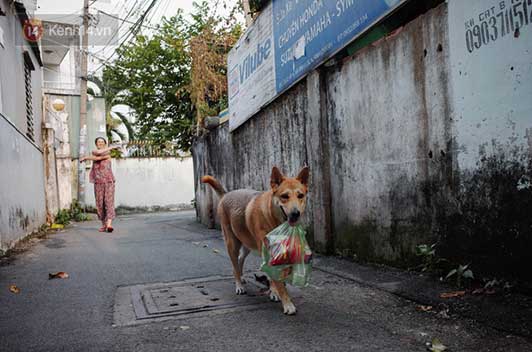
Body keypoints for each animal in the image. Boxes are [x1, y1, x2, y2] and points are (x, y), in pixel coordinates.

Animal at [202, 166, 310, 314]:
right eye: (284, 196)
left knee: (240, 259)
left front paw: (274, 292)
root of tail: (226, 195)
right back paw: (239, 285)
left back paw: (241, 276)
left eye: (300, 196)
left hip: (247, 243)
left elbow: (276, 278)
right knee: (235, 263)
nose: (295, 213)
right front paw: (287, 303)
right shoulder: (268, 254)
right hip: (232, 244)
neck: (273, 219)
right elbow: (277, 280)